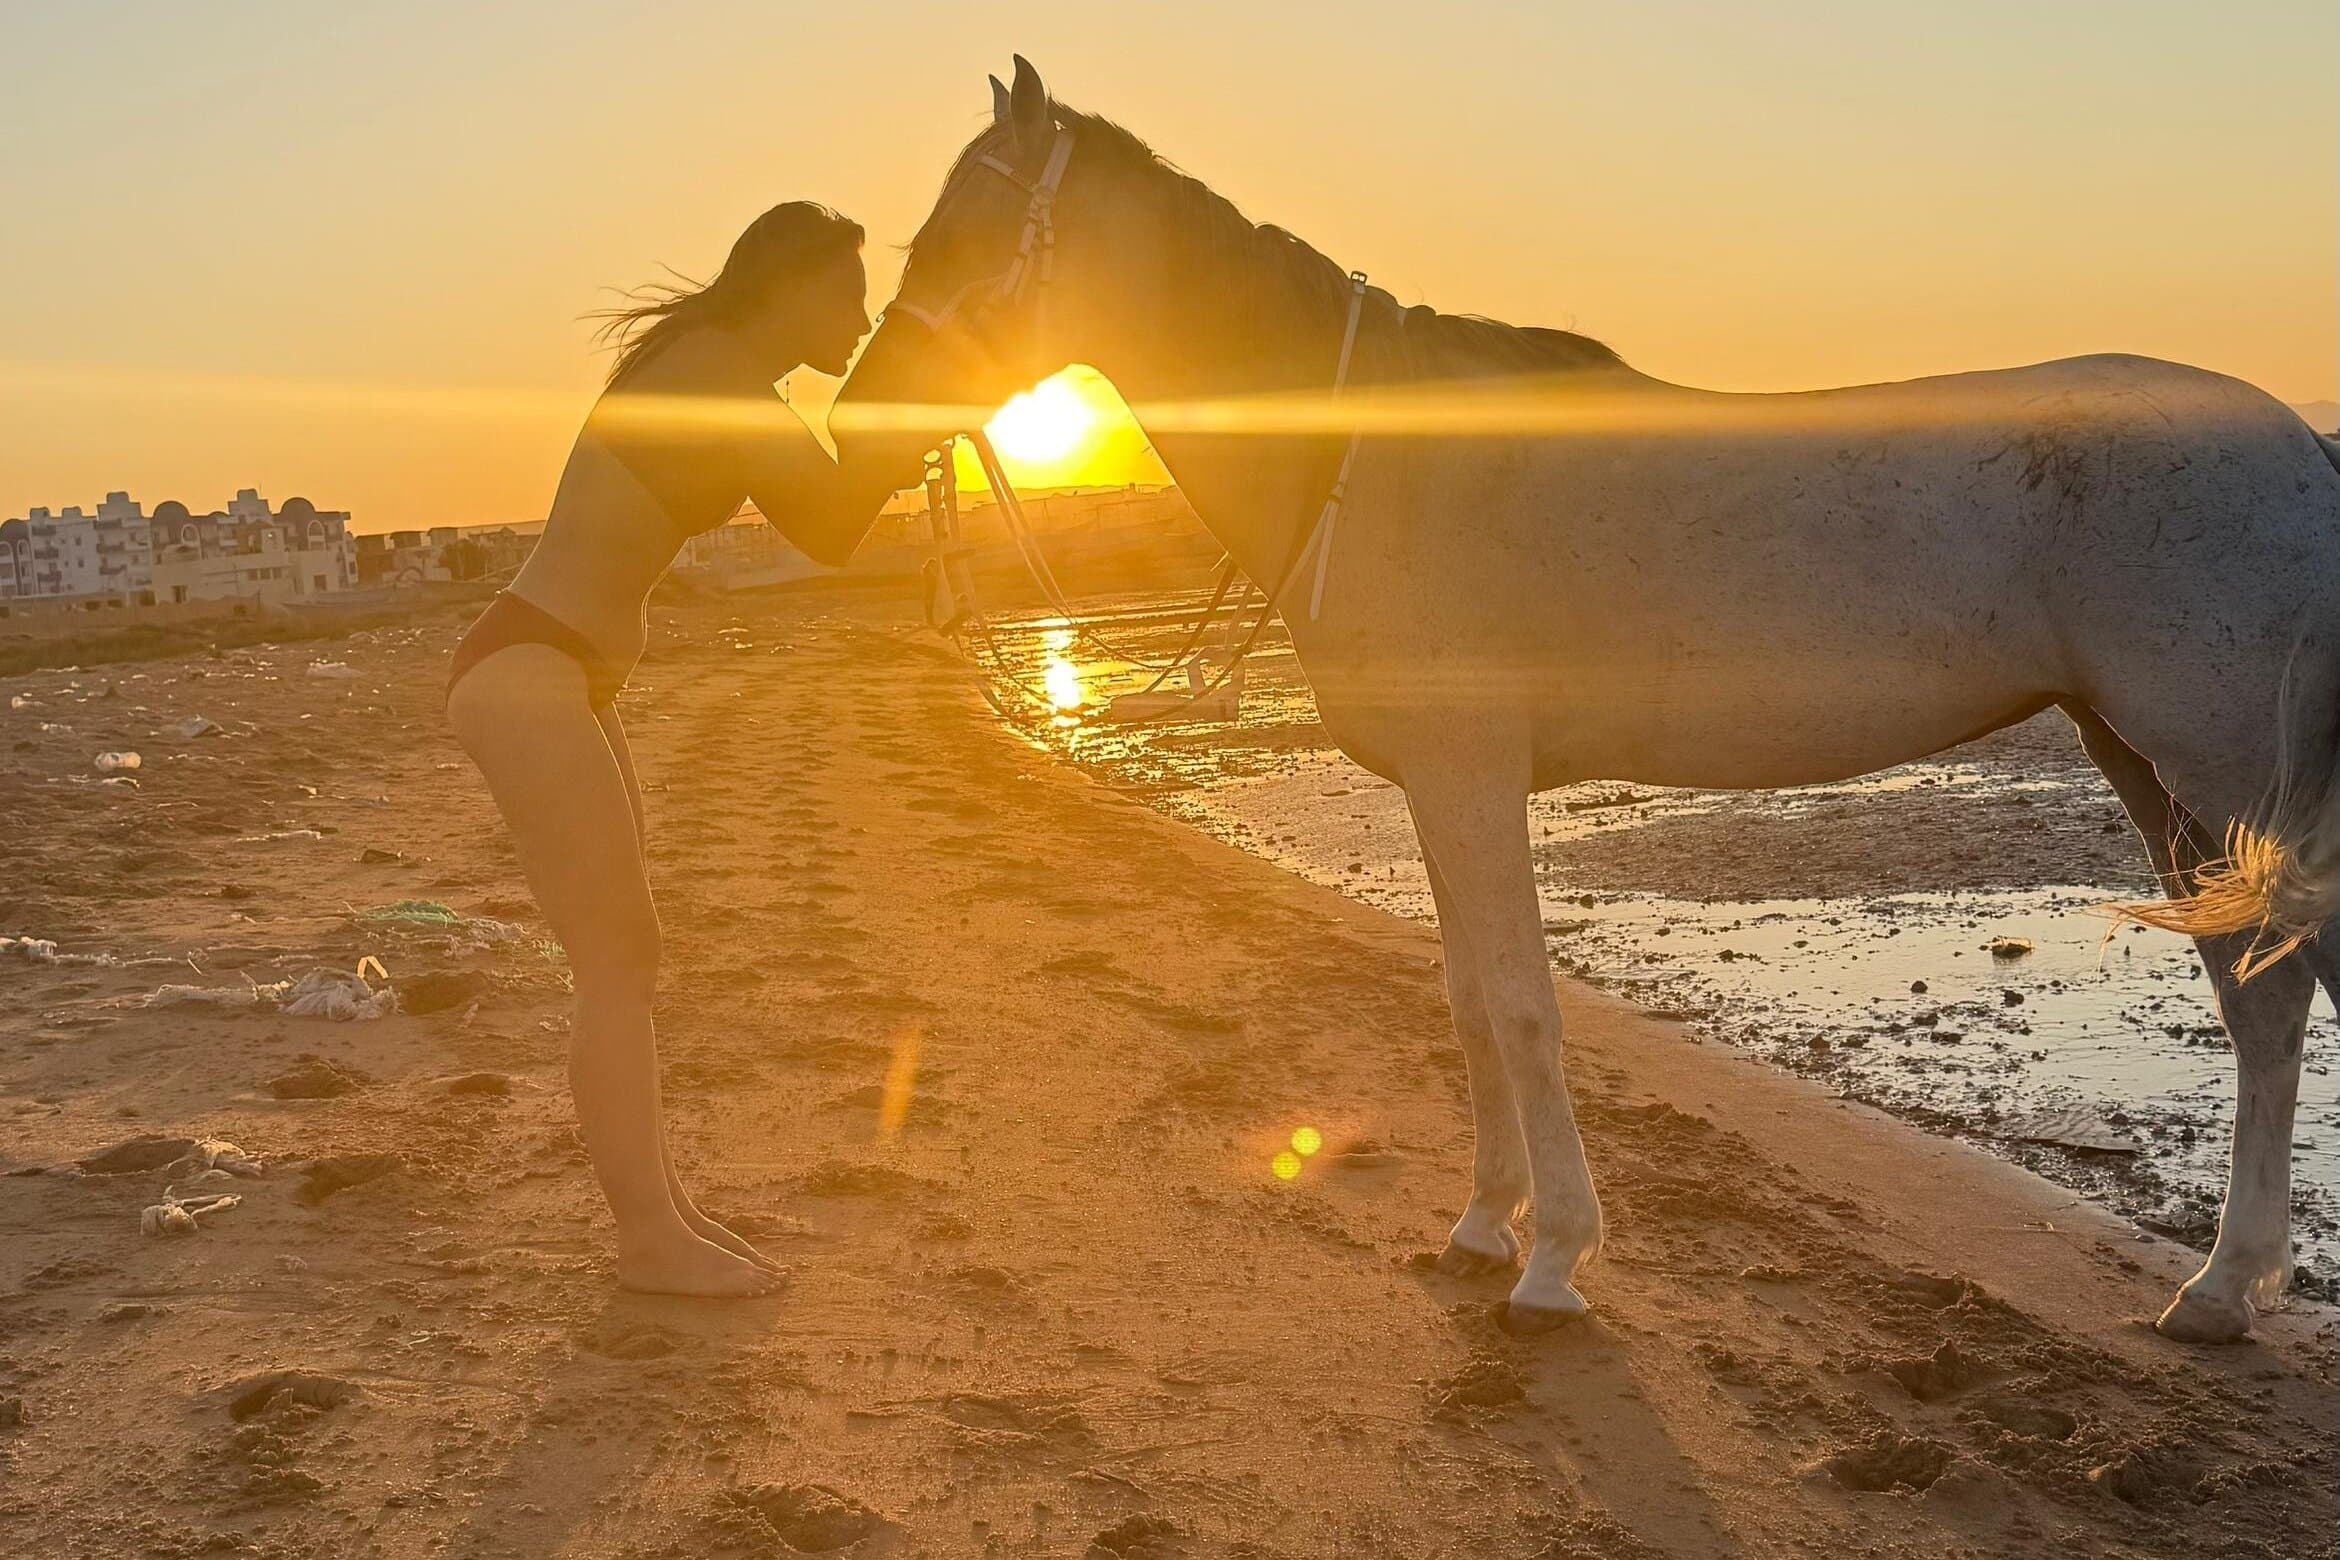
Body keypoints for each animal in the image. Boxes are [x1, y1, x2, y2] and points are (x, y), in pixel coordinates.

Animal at [834, 57, 2340, 1342]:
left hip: (2208, 770)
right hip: (2149, 768)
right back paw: (2224, 1289)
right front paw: (1480, 1224)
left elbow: (1517, 1004)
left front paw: (1552, 1257)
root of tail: (2298, 446)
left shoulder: (1471, 778)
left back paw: (2224, 1282)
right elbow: (1463, 1001)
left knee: (2278, 990)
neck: (1377, 463)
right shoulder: (1438, 792)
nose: (856, 422)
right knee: (2257, 995)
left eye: (975, 231)